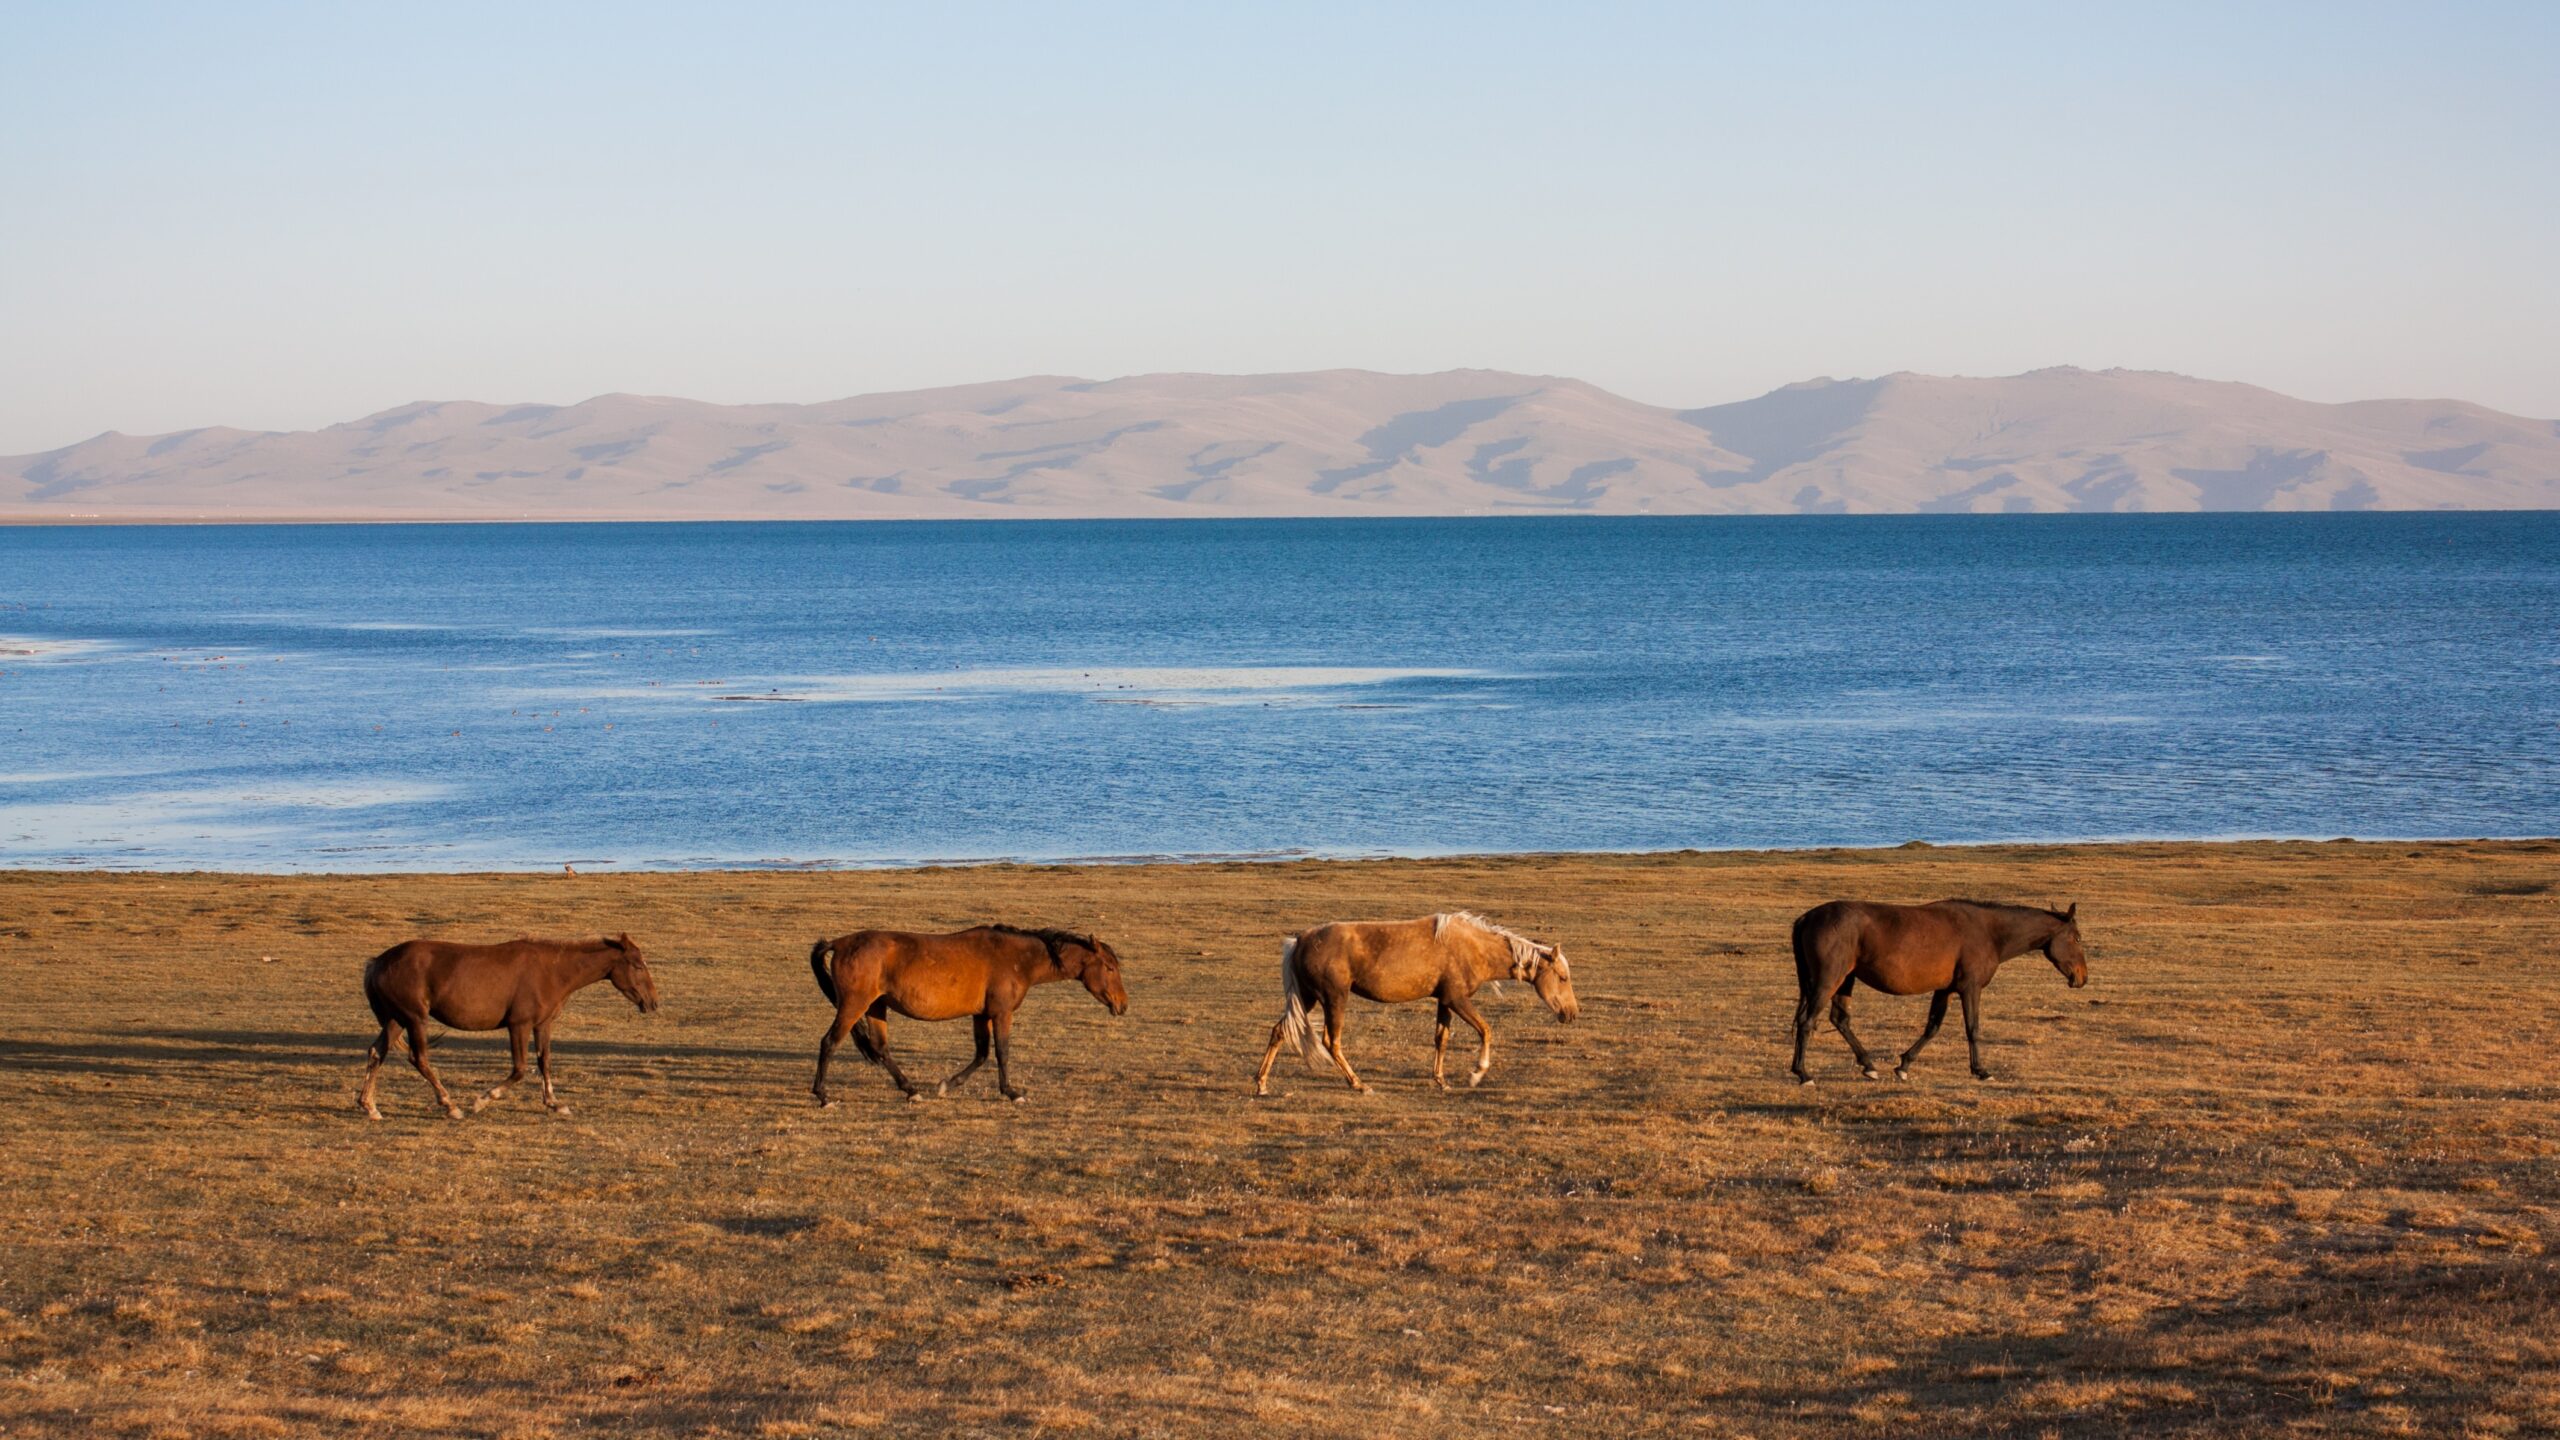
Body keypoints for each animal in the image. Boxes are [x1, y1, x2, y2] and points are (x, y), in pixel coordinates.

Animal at [358, 932, 660, 1122]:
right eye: (637, 965)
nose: (653, 1002)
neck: (552, 971)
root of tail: (378, 962)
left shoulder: (542, 1025)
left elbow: (544, 1062)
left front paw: (554, 1103)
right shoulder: (519, 1026)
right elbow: (520, 1069)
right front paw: (483, 1099)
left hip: (396, 1020)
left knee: (376, 1053)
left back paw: (369, 1106)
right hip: (415, 1019)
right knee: (418, 1058)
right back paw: (450, 1105)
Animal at [798, 922, 1121, 1101]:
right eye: (1109, 967)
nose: (1123, 1004)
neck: (1018, 958)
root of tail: (840, 943)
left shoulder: (981, 1014)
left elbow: (982, 1054)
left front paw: (946, 1085)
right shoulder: (1001, 1013)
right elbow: (1002, 1052)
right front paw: (1012, 1092)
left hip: (876, 1006)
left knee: (880, 1048)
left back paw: (911, 1090)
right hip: (854, 1005)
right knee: (829, 1043)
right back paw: (823, 1095)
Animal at [1249, 912, 1566, 1091]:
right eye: (1563, 977)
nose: (1570, 1013)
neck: (1473, 946)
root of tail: (1300, 940)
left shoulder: (1445, 1001)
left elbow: (1441, 1039)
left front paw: (1441, 1080)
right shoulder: (1458, 999)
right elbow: (1485, 1030)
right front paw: (1477, 1074)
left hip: (1307, 998)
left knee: (1280, 1031)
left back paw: (1262, 1083)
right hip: (1333, 999)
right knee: (1331, 1041)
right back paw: (1358, 1084)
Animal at [1792, 891, 2088, 1081]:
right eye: (2077, 938)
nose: (2082, 977)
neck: (1989, 932)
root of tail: (1807, 917)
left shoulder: (1944, 990)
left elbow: (1932, 1027)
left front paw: (1904, 1065)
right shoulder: (1970, 988)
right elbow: (1973, 1029)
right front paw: (1981, 1070)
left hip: (1845, 980)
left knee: (1840, 1019)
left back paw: (1868, 1065)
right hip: (1828, 981)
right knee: (1808, 1022)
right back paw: (1803, 1073)